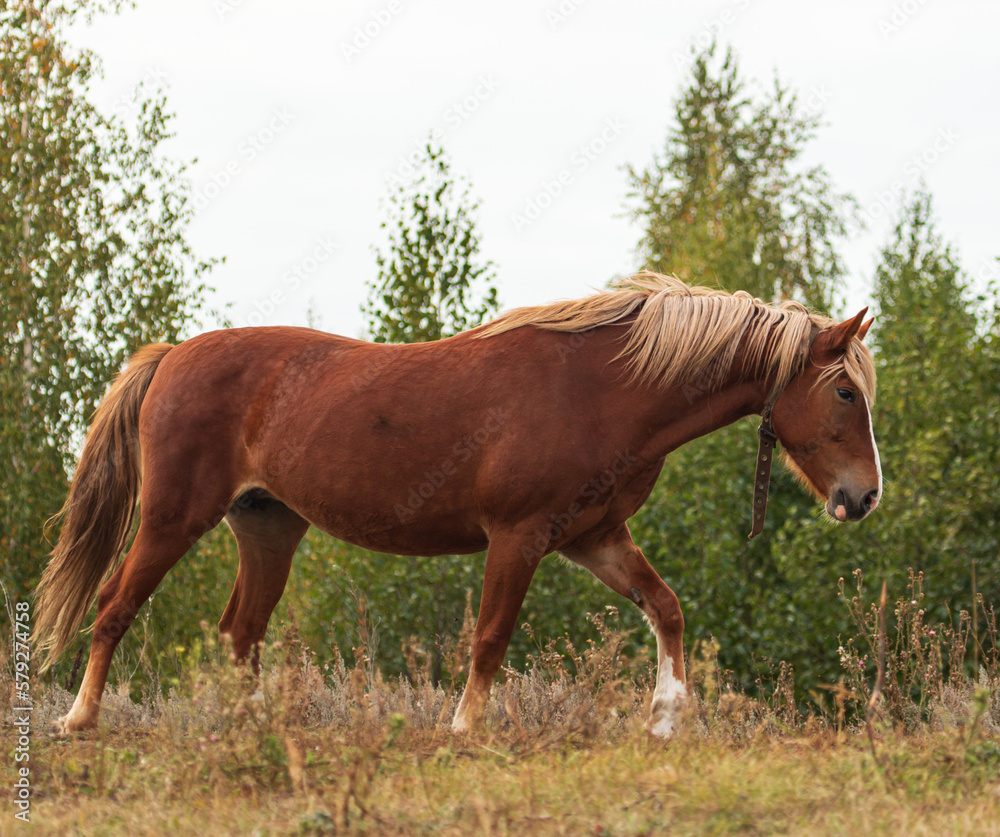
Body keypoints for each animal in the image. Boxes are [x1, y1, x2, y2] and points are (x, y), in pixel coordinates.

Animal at [34, 273, 881, 736]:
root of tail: (172, 353)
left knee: (240, 633)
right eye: (845, 390)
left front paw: (669, 716)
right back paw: (79, 718)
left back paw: (250, 727)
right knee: (113, 605)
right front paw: (466, 724)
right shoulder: (518, 535)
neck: (600, 389)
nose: (865, 495)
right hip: (173, 517)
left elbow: (666, 607)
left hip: (267, 526)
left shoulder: (595, 536)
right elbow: (490, 637)